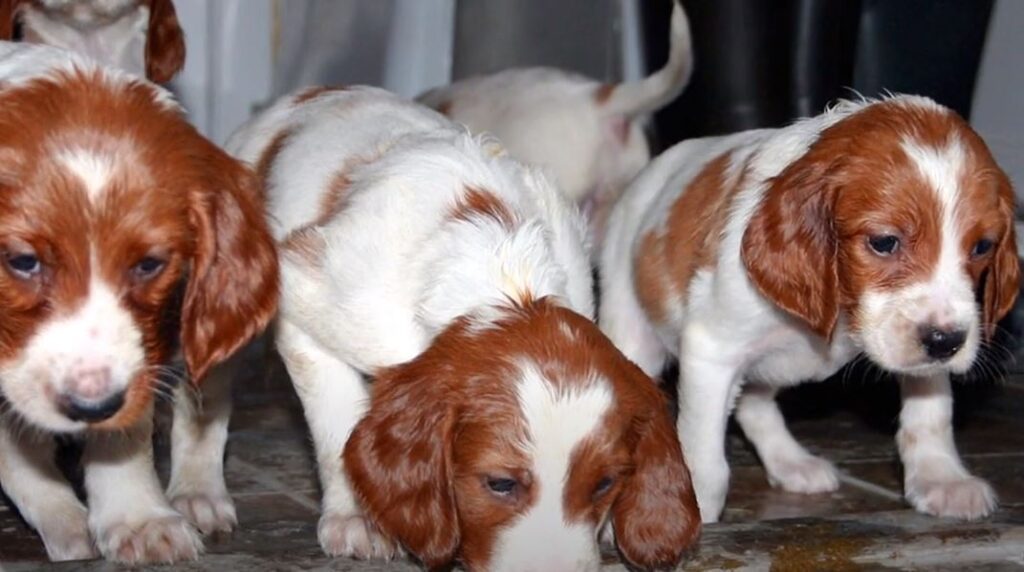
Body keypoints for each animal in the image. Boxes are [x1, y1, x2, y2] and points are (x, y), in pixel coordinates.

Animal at [0, 42, 278, 560]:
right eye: (23, 261)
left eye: (149, 264)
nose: (91, 407)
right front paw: (63, 519)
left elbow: (125, 432)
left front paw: (140, 520)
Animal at [228, 85, 700, 572]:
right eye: (500, 484)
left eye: (605, 483)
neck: (505, 280)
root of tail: (312, 93)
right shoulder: (311, 296)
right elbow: (335, 418)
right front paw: (354, 517)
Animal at [598, 96, 1015, 528]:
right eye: (884, 242)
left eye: (982, 246)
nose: (945, 343)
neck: (842, 312)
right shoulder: (713, 349)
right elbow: (703, 451)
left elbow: (931, 409)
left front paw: (943, 479)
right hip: (631, 327)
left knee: (755, 403)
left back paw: (791, 462)